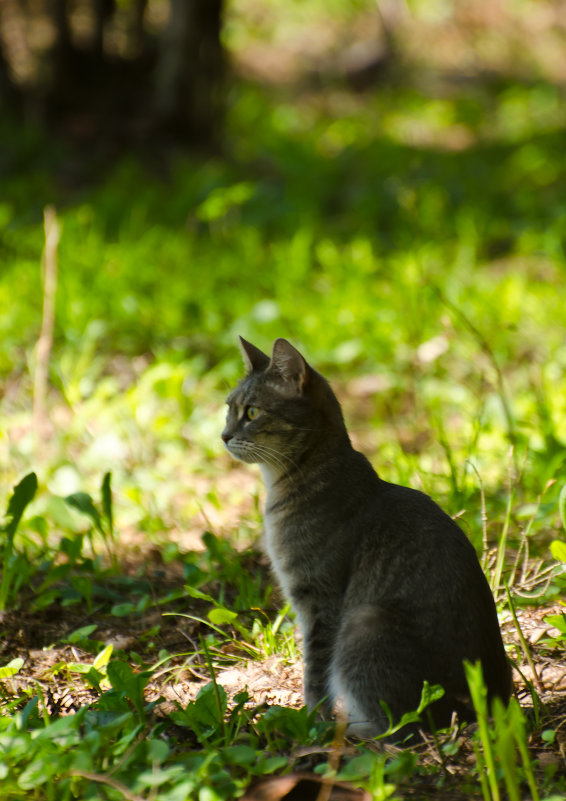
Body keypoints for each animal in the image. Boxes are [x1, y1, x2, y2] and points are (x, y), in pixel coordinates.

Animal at [223, 334, 516, 736]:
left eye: (252, 412)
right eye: (228, 409)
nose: (223, 436)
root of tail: (487, 705)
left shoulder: (320, 601)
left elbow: (315, 675)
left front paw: (310, 721)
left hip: (365, 621)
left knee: (396, 727)